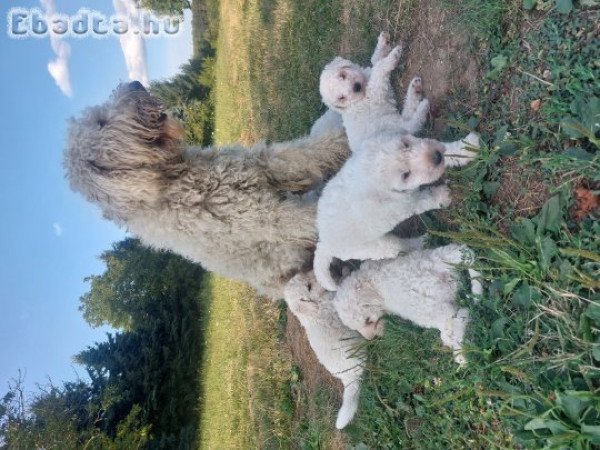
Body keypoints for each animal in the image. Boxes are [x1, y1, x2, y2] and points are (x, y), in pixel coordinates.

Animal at [63, 81, 350, 298]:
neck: (178, 181)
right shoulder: (268, 217)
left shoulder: (267, 164)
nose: (136, 84)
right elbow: (313, 216)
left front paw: (344, 135)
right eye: (101, 122)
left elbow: (310, 152)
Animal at [332, 244, 482, 364]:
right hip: (445, 255)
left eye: (368, 321)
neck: (372, 283)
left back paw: (460, 354)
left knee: (458, 316)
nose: (371, 339)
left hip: (423, 310)